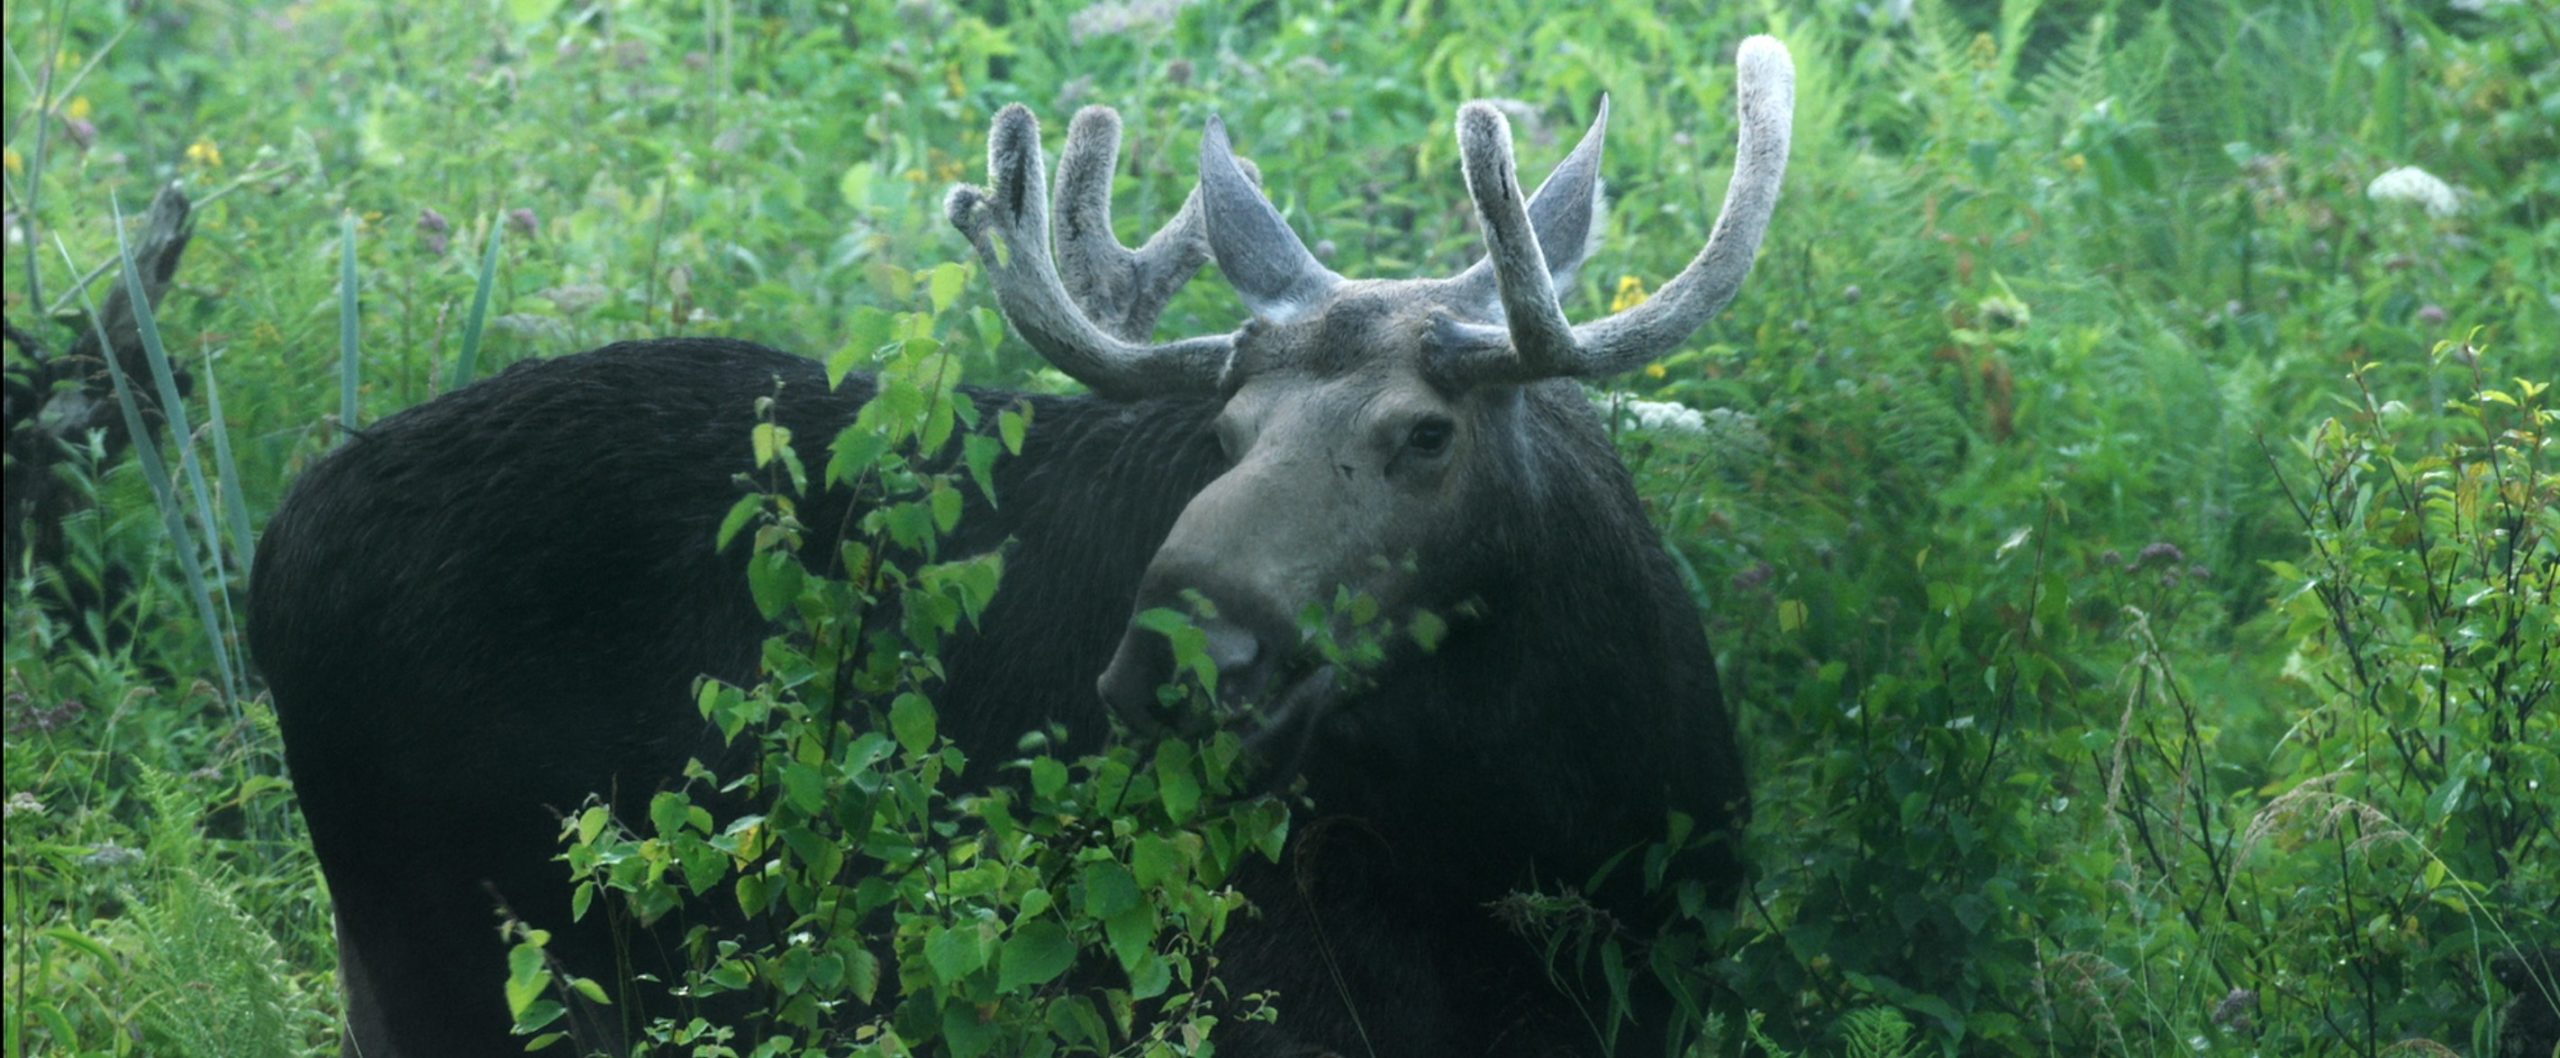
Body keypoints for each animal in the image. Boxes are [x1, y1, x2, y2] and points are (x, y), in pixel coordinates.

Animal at [249, 32, 1792, 1055]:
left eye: (1427, 433)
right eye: (1224, 431)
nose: (1172, 658)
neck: (1558, 805)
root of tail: (269, 566)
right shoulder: (1266, 994)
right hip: (456, 959)